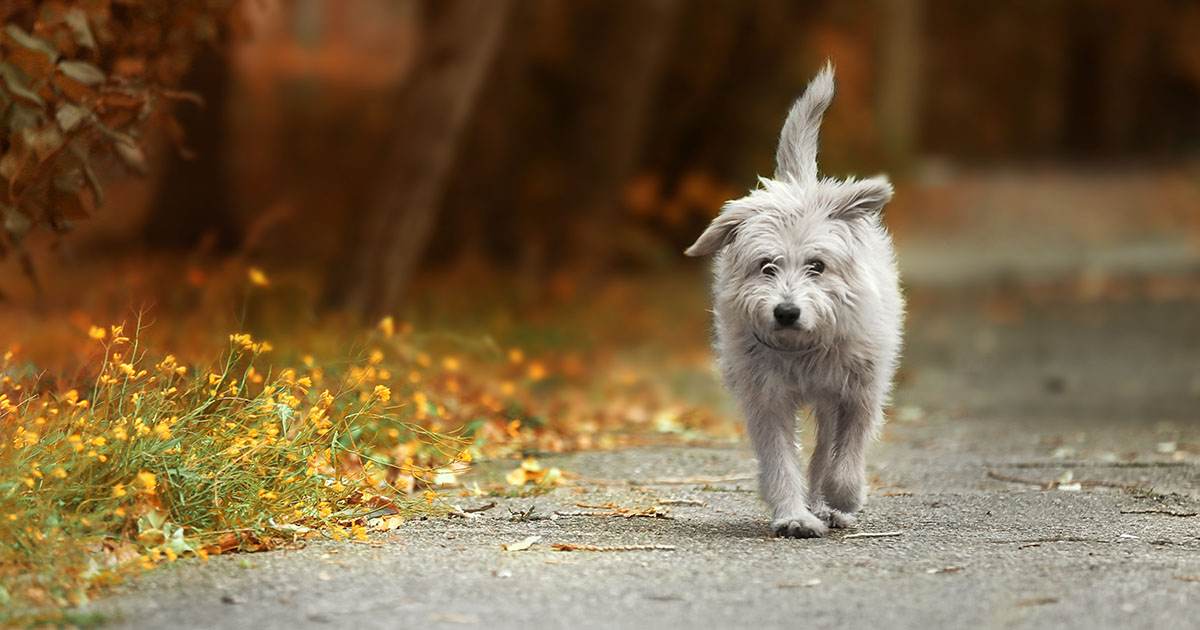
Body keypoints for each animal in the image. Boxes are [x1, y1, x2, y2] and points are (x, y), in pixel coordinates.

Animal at [686, 62, 902, 535]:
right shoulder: (766, 397)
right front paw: (792, 514)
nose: (786, 311)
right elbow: (779, 459)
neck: (801, 348)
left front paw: (843, 497)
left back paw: (829, 503)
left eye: (816, 265)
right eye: (767, 264)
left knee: (826, 450)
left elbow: (846, 453)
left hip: (833, 396)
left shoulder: (861, 389)